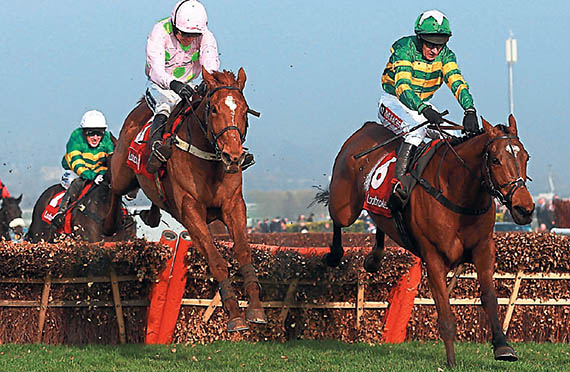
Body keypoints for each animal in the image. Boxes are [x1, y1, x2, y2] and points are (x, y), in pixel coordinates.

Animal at [102, 67, 266, 332]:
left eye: (244, 109)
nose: (233, 156)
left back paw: (151, 215)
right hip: (123, 172)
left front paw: (255, 308)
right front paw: (234, 315)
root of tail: (141, 107)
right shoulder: (190, 207)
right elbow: (216, 260)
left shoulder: (233, 204)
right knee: (114, 185)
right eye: (214, 109)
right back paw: (109, 225)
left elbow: (243, 251)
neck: (209, 158)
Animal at [318, 115, 536, 366]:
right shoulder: (433, 259)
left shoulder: (483, 249)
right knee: (336, 217)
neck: (458, 194)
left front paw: (503, 346)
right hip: (344, 206)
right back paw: (334, 255)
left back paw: (374, 258)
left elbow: (489, 298)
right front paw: (451, 362)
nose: (524, 209)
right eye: (495, 159)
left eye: (526, 157)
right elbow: (445, 314)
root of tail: (365, 128)